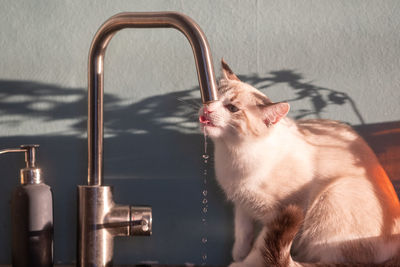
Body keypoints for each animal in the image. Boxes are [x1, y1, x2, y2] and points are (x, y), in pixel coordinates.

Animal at [198, 59, 400, 267]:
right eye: (212, 98)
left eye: (232, 108)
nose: (207, 109)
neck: (233, 153)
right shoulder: (241, 204)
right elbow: (243, 232)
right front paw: (238, 254)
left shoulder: (277, 213)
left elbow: (259, 248)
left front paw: (241, 263)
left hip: (333, 196)